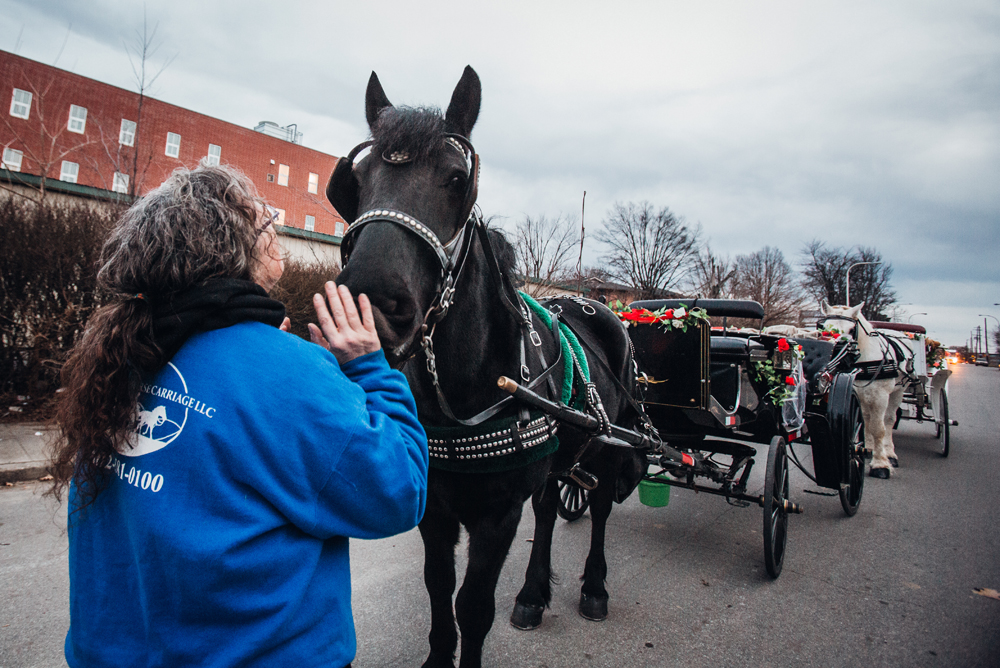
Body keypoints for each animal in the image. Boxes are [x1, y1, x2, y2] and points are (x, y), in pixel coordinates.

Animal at [332, 68, 644, 668]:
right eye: (354, 183)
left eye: (458, 179)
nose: (373, 303)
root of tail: (596, 306)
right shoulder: (435, 510)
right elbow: (438, 591)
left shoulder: (497, 515)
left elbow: (473, 607)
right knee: (547, 508)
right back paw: (533, 593)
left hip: (606, 446)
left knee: (597, 510)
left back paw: (594, 587)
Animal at [820, 300, 916, 478]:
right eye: (824, 328)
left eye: (852, 329)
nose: (837, 355)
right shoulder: (856, 392)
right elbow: (866, 423)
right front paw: (870, 450)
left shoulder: (880, 397)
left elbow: (879, 429)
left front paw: (881, 464)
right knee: (867, 418)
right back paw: (869, 448)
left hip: (898, 391)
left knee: (889, 420)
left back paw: (889, 453)